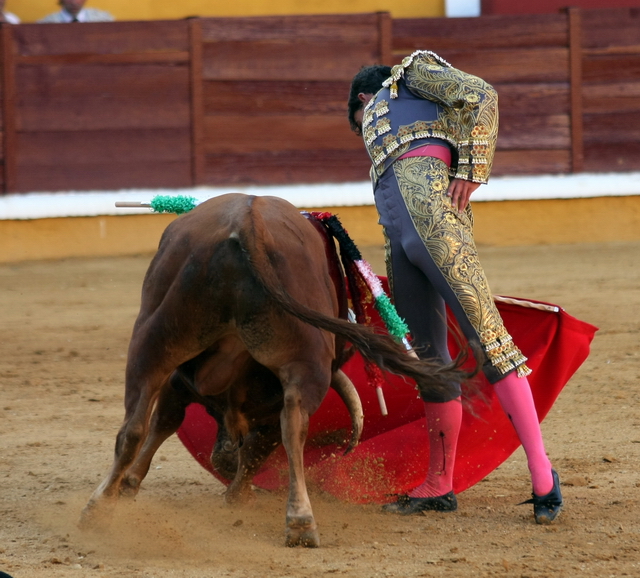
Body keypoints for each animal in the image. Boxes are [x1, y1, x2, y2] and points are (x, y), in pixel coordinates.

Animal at [80, 192, 464, 544]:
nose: (223, 457)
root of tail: (248, 219)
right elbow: (250, 444)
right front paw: (236, 492)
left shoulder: (183, 383)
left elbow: (170, 423)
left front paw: (133, 485)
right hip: (294, 359)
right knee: (291, 425)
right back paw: (299, 520)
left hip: (153, 342)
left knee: (134, 427)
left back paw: (99, 507)